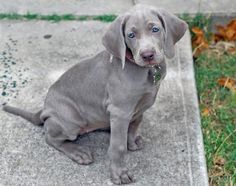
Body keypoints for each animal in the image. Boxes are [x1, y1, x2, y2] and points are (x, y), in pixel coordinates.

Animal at [2, 4, 187, 185]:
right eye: (131, 35)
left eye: (155, 29)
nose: (147, 55)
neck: (146, 70)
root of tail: (44, 110)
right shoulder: (120, 111)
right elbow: (118, 146)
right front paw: (119, 173)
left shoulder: (138, 106)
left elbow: (135, 123)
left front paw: (132, 141)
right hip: (71, 120)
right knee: (49, 136)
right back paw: (77, 151)